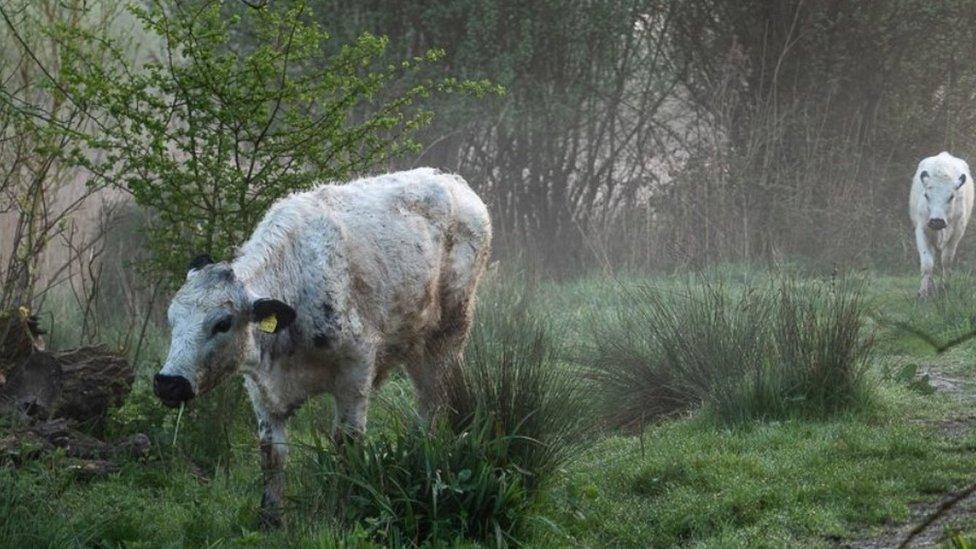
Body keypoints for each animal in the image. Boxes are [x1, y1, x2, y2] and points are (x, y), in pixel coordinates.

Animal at [153, 168, 496, 528]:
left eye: (223, 323)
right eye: (172, 318)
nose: (168, 382)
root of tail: (451, 180)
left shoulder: (355, 369)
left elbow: (347, 442)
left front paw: (346, 506)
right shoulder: (262, 389)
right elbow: (272, 453)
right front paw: (270, 518)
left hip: (447, 336)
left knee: (433, 403)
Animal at [908, 150, 976, 298]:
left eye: (951, 196)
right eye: (926, 195)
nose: (936, 221)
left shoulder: (957, 232)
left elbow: (946, 260)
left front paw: (945, 288)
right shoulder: (921, 229)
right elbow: (927, 263)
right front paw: (923, 293)